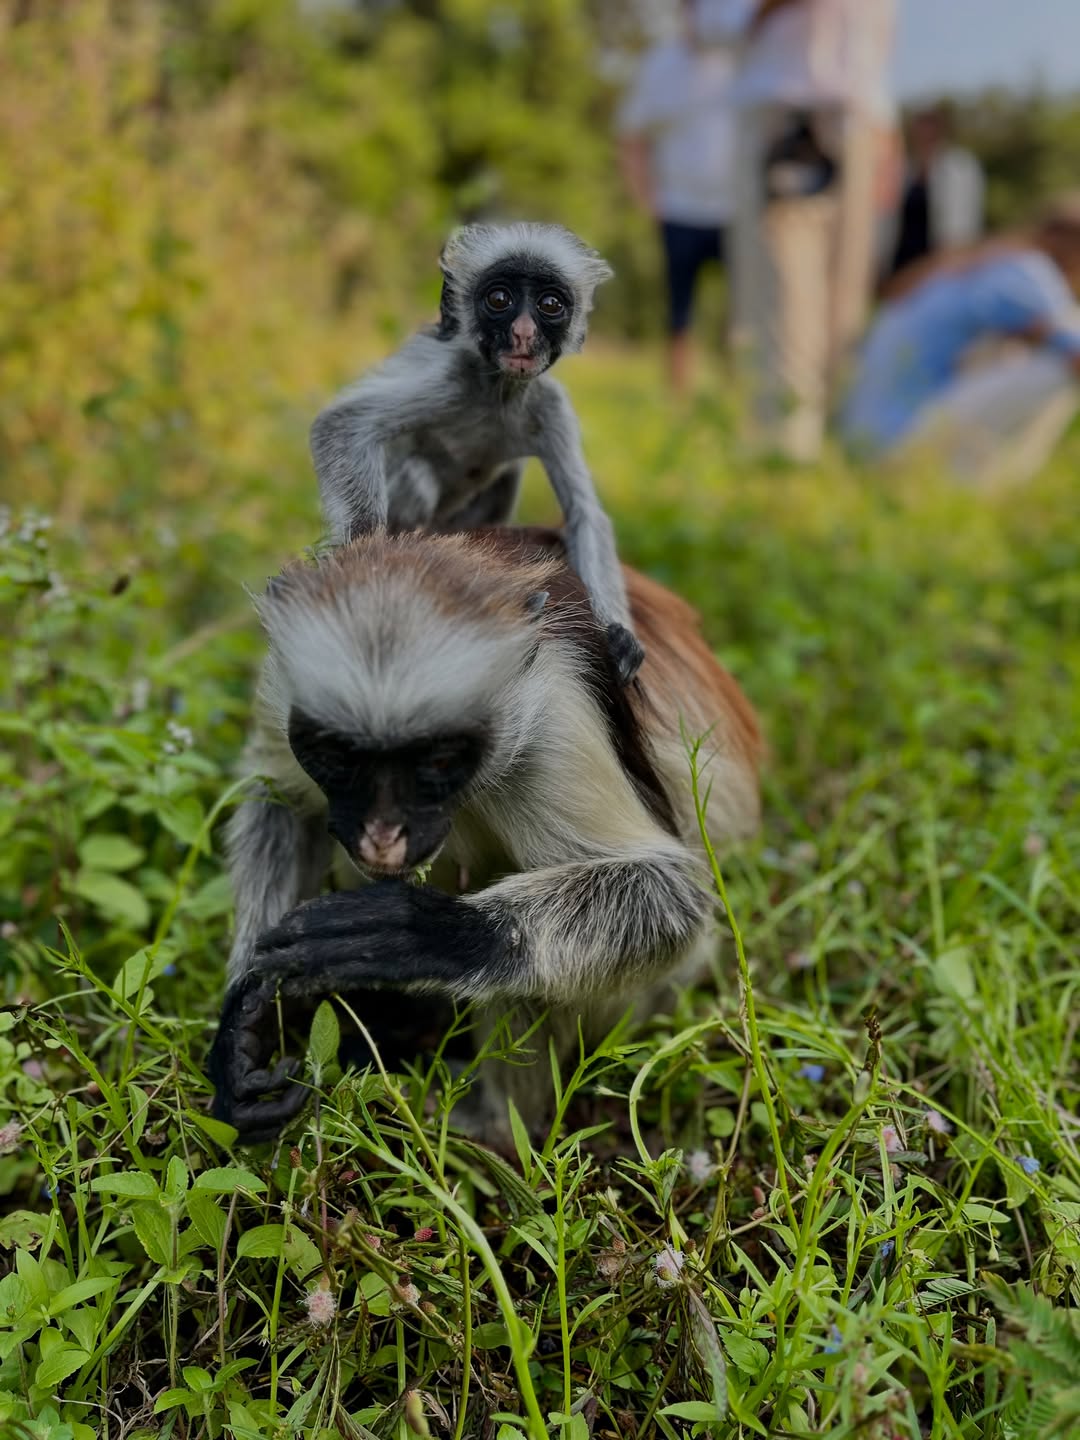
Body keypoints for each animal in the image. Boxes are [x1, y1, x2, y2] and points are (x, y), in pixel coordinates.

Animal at [208, 527, 762, 1147]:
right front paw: (247, 1018)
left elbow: (674, 895)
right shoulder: (285, 692)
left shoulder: (553, 720)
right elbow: (281, 804)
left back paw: (491, 1121)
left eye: (439, 760)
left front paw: (428, 934)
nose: (381, 839)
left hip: (649, 997)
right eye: (338, 757)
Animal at [308, 222, 645, 686]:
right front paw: (363, 568)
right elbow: (339, 425)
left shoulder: (549, 404)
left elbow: (584, 513)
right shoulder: (450, 379)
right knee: (418, 472)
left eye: (550, 305)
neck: (499, 393)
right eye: (499, 299)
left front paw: (617, 632)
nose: (523, 333)